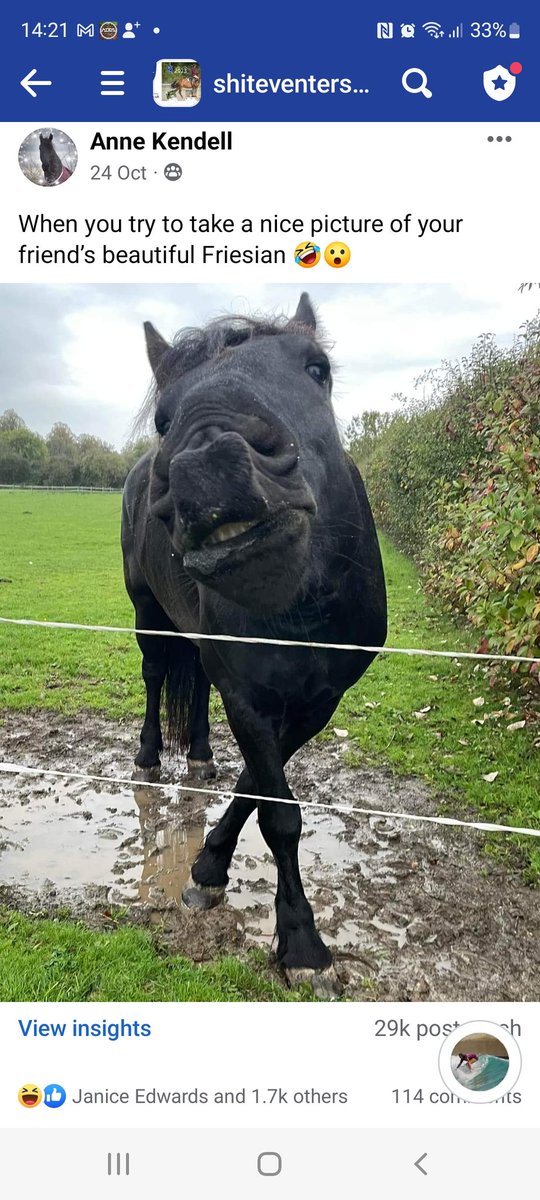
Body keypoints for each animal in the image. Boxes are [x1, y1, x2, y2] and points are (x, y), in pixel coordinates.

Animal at [122, 294, 387, 995]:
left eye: (317, 368)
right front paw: (303, 946)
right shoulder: (249, 696)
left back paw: (200, 756)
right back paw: (151, 757)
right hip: (147, 614)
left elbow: (256, 790)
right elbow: (278, 814)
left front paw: (209, 867)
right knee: (156, 678)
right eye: (163, 416)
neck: (301, 607)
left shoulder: (318, 701)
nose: (209, 469)